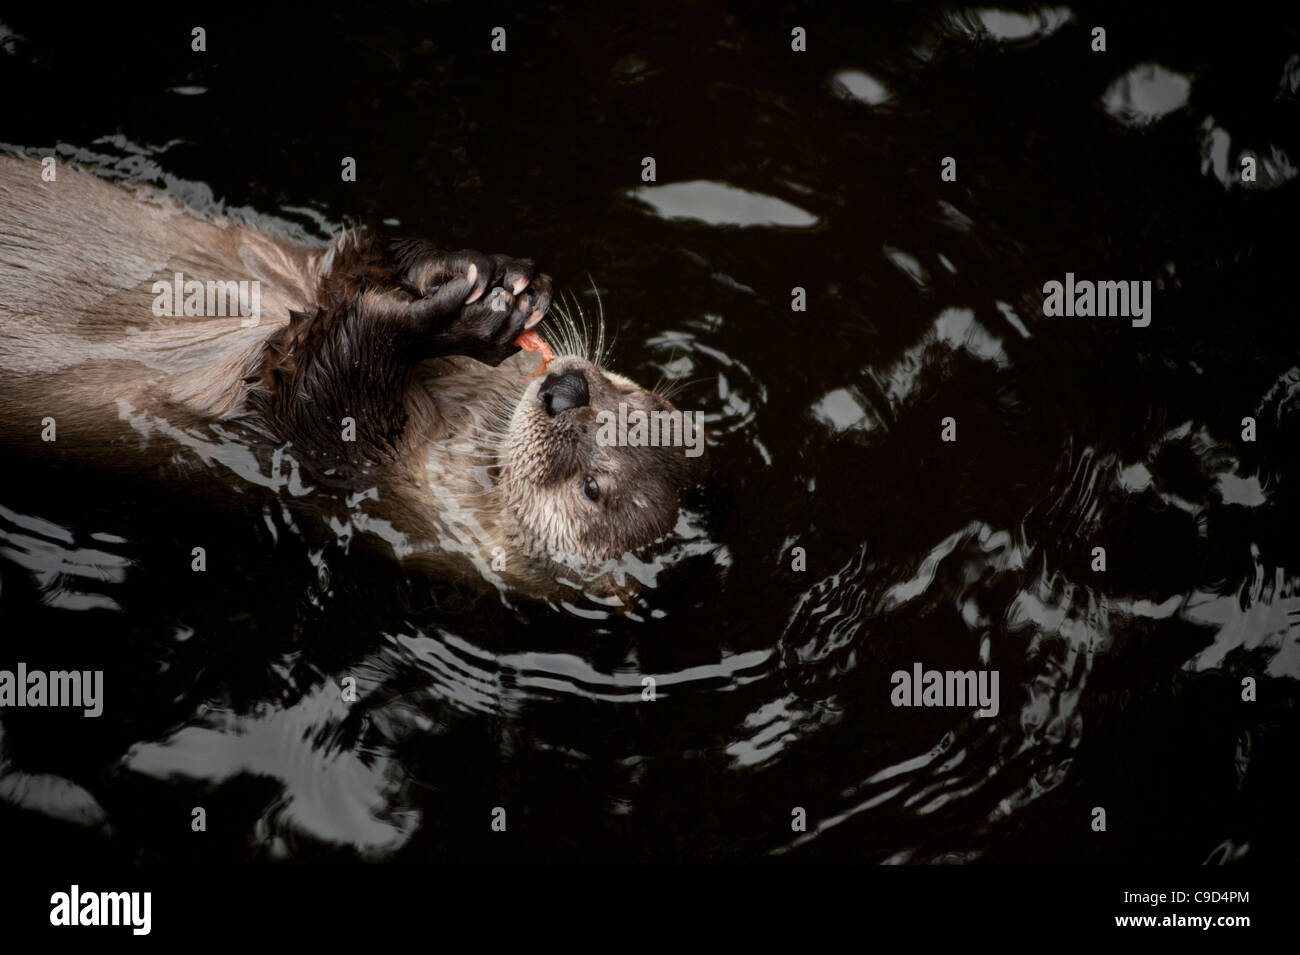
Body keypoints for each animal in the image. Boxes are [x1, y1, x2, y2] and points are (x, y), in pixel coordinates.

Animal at [0, 156, 703, 602]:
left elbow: (305, 382)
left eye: (591, 487)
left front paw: (423, 319)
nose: (566, 391)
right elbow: (350, 260)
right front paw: (479, 273)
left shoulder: (340, 456)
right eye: (625, 397)